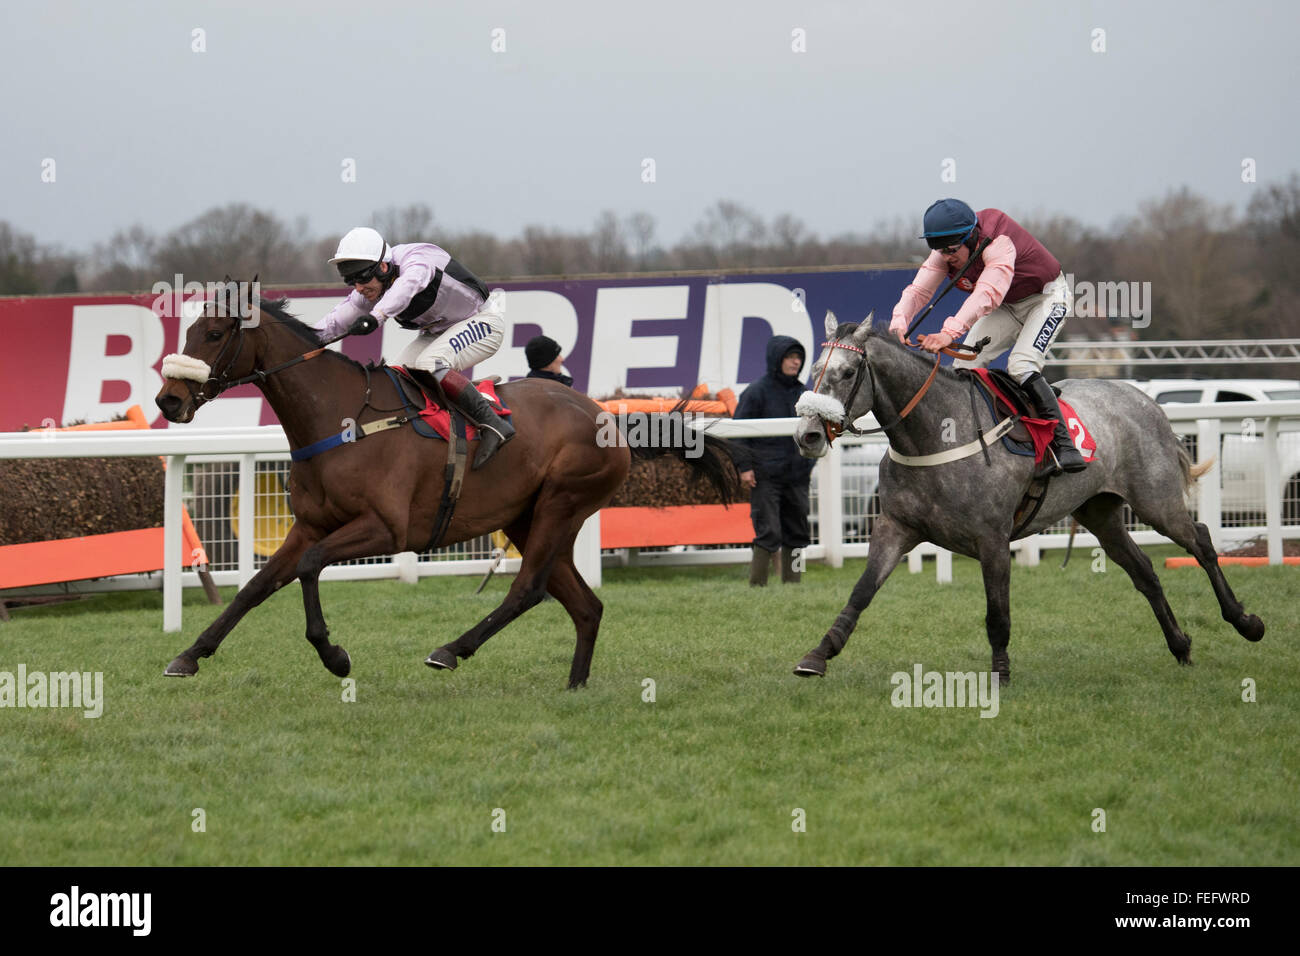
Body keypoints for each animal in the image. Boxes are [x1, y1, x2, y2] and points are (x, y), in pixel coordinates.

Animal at [152, 295, 738, 686]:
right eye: (189, 331)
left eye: (214, 333)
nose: (167, 400)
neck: (341, 419)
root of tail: (609, 418)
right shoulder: (311, 524)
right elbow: (255, 586)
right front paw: (190, 655)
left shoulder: (385, 529)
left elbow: (310, 567)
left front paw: (334, 655)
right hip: (527, 516)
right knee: (584, 604)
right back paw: (575, 684)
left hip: (562, 502)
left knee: (528, 589)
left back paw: (451, 649)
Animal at [785, 312, 1263, 681]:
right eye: (814, 370)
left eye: (847, 373)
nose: (808, 435)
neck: (936, 434)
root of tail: (1146, 400)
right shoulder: (896, 527)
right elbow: (861, 592)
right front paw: (819, 654)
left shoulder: (992, 538)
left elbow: (997, 612)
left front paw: (1000, 672)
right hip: (1101, 512)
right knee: (1144, 570)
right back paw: (1179, 644)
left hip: (1156, 501)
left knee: (1201, 540)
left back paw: (1245, 622)